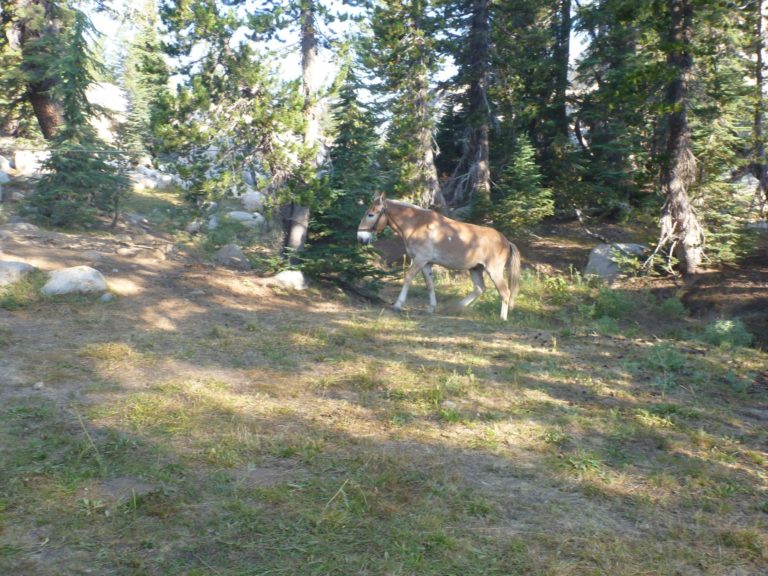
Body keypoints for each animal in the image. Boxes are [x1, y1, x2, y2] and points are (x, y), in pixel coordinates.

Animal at [356, 192, 520, 320]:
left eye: (371, 214)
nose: (360, 238)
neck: (417, 224)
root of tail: (506, 241)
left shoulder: (420, 259)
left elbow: (408, 278)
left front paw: (397, 305)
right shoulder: (427, 263)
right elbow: (430, 285)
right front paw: (431, 308)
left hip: (494, 271)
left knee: (505, 292)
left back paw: (502, 318)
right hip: (475, 269)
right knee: (480, 288)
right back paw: (453, 309)